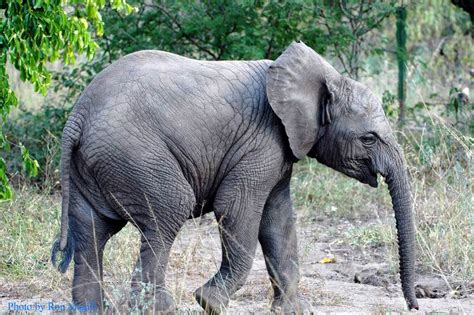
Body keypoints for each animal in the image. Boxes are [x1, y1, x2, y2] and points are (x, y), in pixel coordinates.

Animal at [50, 41, 416, 314]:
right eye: (369, 139)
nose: (413, 305)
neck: (323, 77)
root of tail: (78, 115)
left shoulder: (279, 150)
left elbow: (279, 221)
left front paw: (295, 311)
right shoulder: (262, 141)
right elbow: (238, 209)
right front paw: (209, 303)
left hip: (97, 163)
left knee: (92, 229)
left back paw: (94, 309)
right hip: (134, 154)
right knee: (168, 211)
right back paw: (160, 309)